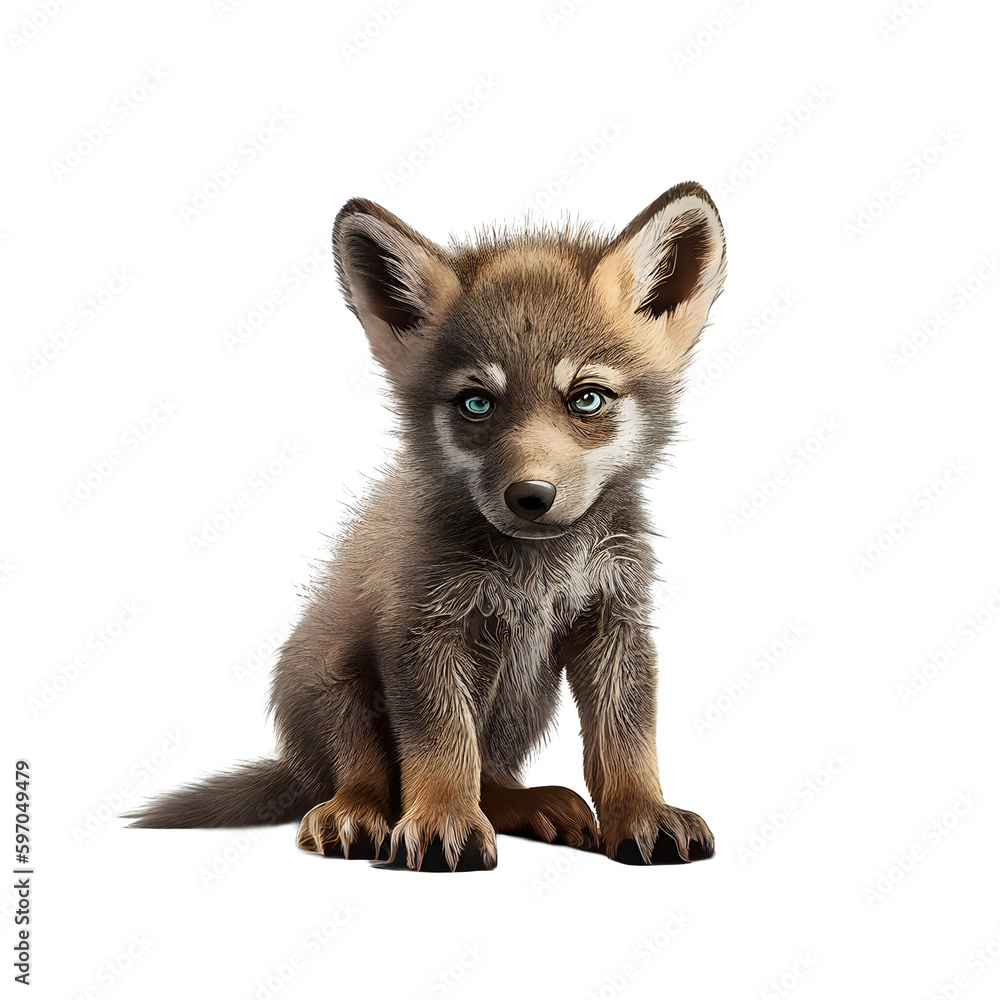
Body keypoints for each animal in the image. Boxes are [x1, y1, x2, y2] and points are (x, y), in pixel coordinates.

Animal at [128, 181, 727, 872]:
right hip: (339, 686)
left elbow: (627, 741)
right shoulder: (421, 629)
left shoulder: (613, 622)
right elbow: (441, 747)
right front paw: (441, 821)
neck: (538, 572)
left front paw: (642, 814)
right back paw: (352, 816)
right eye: (476, 403)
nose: (531, 496)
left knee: (490, 775)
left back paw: (529, 804)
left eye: (587, 399)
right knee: (365, 777)